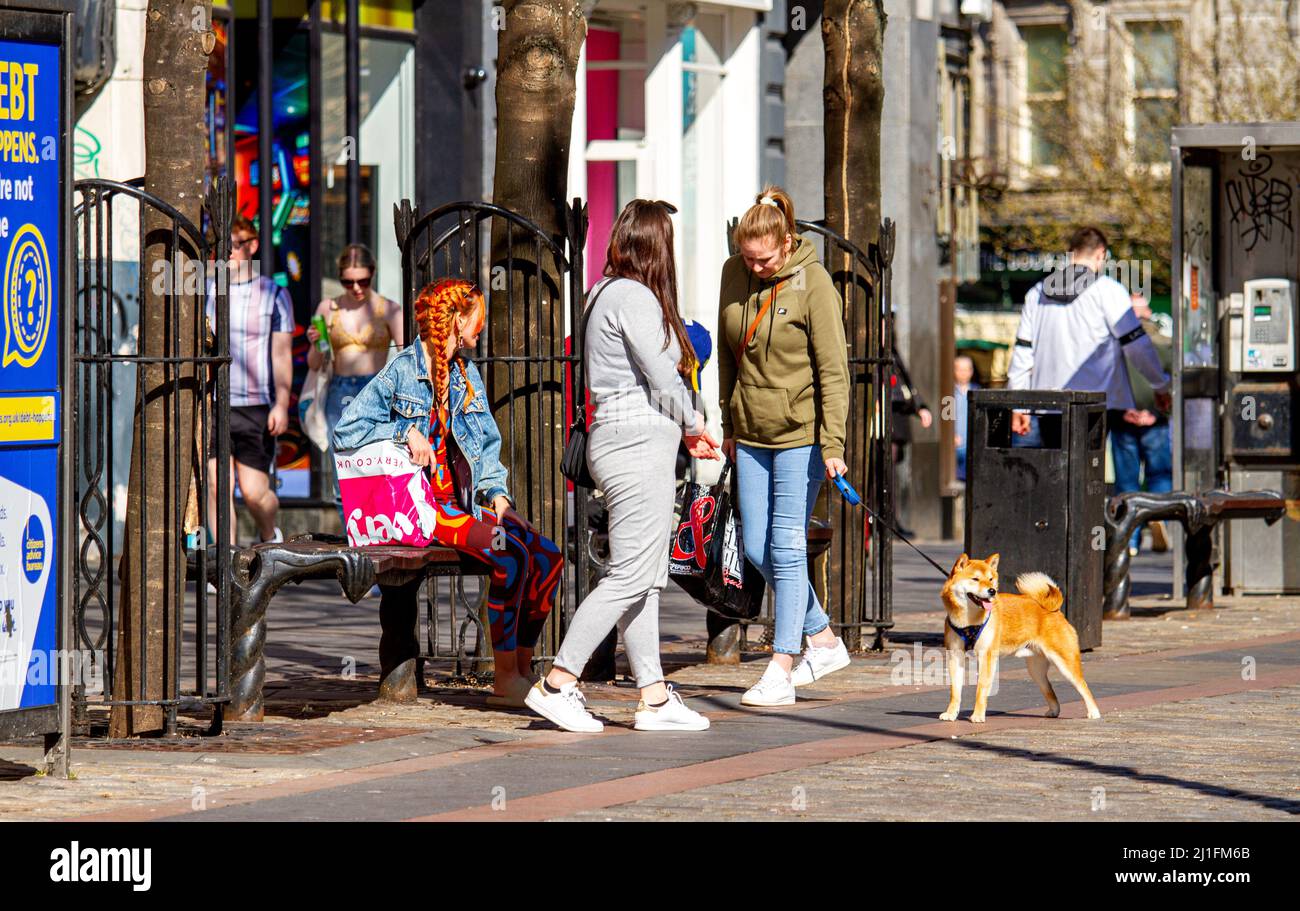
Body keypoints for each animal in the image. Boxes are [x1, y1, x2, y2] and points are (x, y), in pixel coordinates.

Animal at [941, 551, 1102, 722]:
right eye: (975, 579)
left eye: (991, 579)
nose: (992, 591)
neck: (968, 620)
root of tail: (1053, 609)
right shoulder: (955, 655)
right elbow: (955, 691)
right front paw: (951, 713)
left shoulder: (986, 656)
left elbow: (981, 689)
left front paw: (977, 715)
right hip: (1036, 670)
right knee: (1049, 689)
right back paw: (1054, 711)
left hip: (1065, 663)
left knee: (1083, 685)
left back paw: (1094, 712)